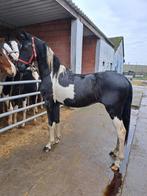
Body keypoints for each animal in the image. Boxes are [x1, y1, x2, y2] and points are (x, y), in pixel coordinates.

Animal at [15, 32, 132, 172]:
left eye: (26, 47)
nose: (19, 67)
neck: (52, 75)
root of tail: (124, 79)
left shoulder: (49, 103)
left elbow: (50, 123)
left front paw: (48, 145)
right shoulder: (56, 104)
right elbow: (57, 121)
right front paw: (57, 140)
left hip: (114, 111)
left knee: (121, 132)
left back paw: (117, 163)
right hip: (119, 112)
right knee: (121, 132)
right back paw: (114, 152)